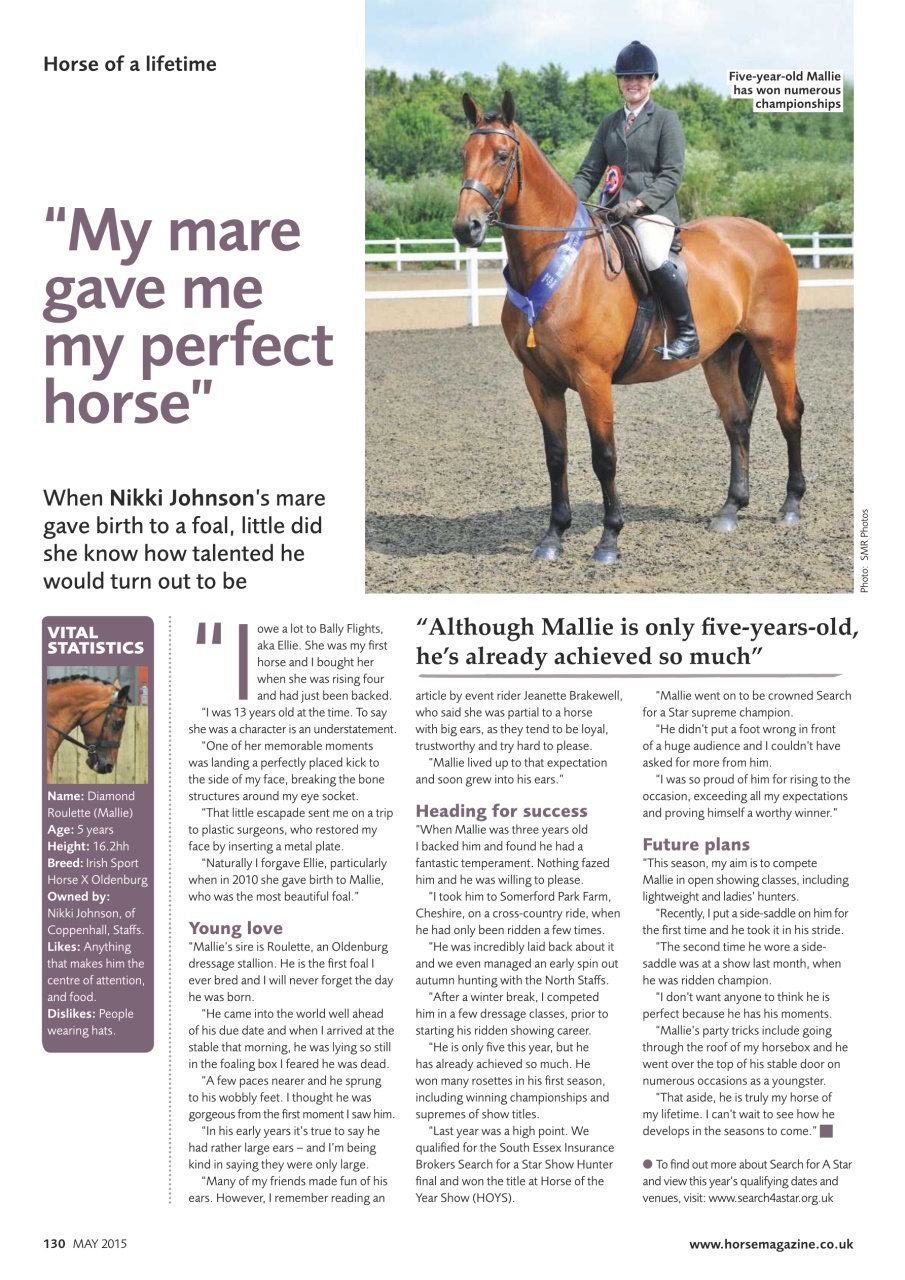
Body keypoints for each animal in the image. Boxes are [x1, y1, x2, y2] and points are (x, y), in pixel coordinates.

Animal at [452, 92, 805, 564]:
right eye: (464, 154)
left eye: (502, 155)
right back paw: (730, 509)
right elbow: (556, 456)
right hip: (720, 355)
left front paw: (608, 539)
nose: (465, 227)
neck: (559, 266)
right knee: (736, 420)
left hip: (775, 346)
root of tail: (769, 236)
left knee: (790, 414)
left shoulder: (593, 379)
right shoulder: (540, 381)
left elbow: (604, 456)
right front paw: (553, 536)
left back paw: (791, 504)